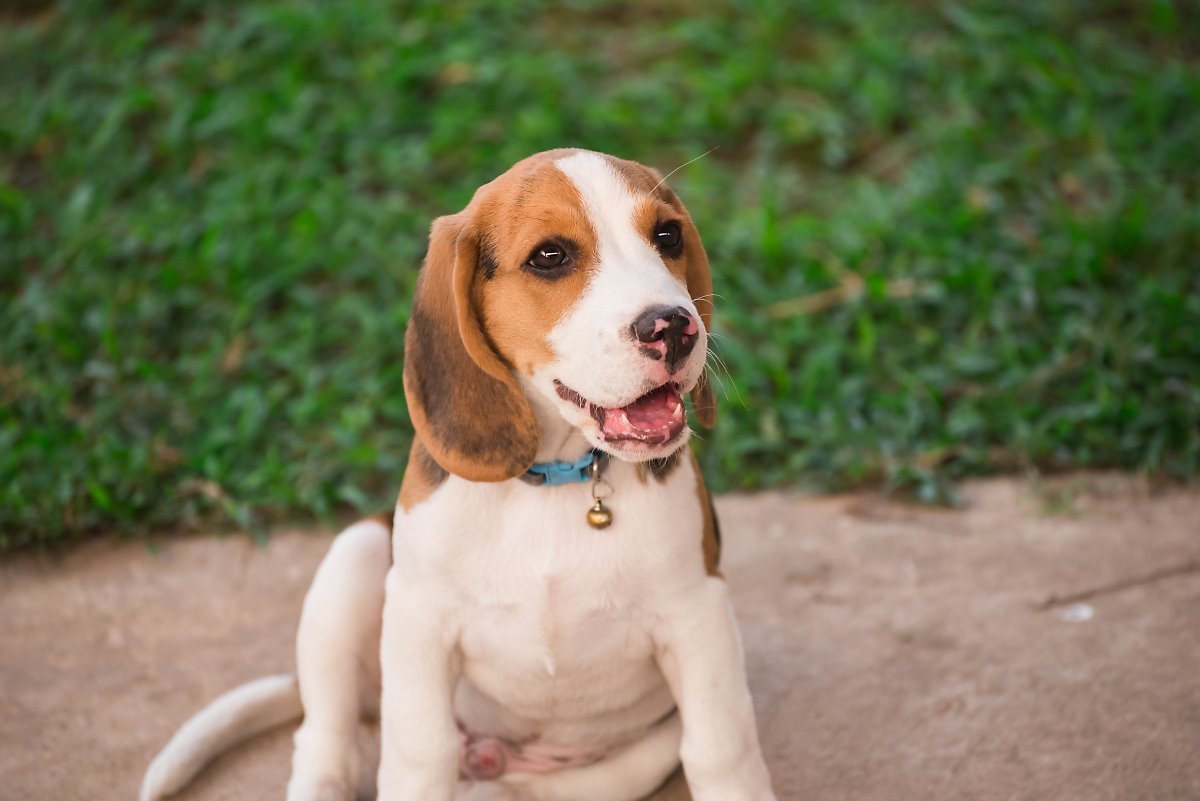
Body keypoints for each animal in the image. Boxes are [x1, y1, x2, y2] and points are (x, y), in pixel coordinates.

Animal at [142, 148, 777, 801]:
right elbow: (420, 751)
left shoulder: (697, 612)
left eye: (668, 236)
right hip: (355, 555)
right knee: (324, 741)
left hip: (618, 767)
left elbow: (720, 749)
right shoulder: (420, 619)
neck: (558, 477)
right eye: (551, 256)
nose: (674, 327)